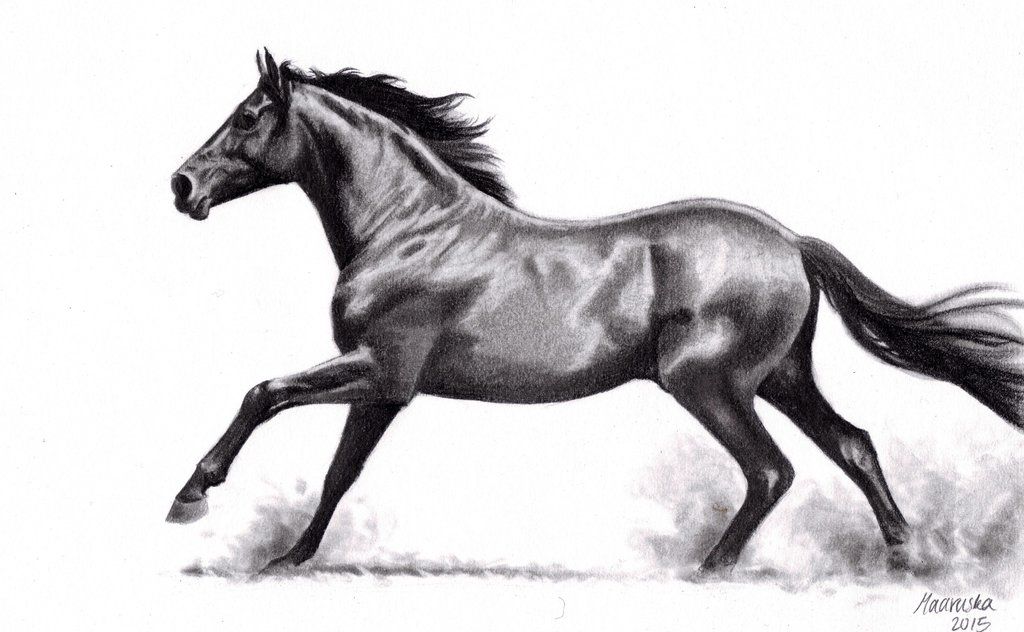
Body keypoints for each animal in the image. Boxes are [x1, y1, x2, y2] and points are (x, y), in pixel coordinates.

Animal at [168, 50, 1024, 574]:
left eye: (248, 115)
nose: (181, 186)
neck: (410, 227)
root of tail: (789, 241)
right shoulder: (383, 388)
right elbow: (340, 472)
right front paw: (288, 559)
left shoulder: (380, 369)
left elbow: (264, 393)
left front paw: (192, 497)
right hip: (779, 377)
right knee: (853, 446)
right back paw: (907, 557)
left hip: (708, 384)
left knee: (771, 470)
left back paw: (709, 571)